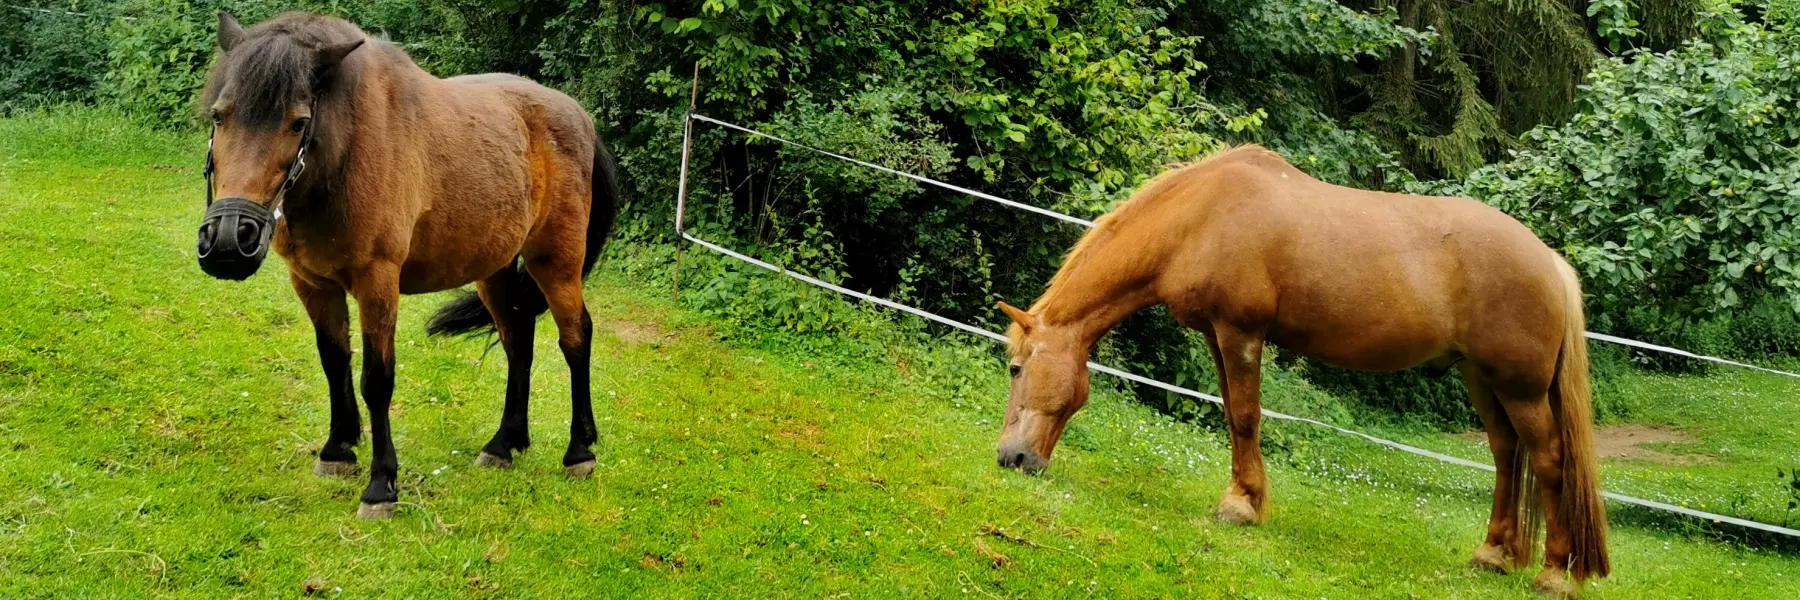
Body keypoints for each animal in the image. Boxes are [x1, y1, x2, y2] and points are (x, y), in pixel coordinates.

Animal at [195, 12, 619, 518]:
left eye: (298, 123)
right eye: (219, 116)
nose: (227, 240)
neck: (346, 155)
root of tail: (580, 118)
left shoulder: (377, 282)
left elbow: (376, 380)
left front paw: (381, 486)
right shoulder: (313, 283)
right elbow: (334, 361)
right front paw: (337, 451)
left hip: (555, 260)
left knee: (575, 337)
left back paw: (580, 450)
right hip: (493, 268)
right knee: (519, 341)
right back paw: (503, 444)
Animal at [1000, 145, 1605, 594]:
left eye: (1014, 368)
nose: (1011, 458)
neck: (1201, 218)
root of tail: (1550, 262)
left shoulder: (1240, 333)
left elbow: (1246, 416)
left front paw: (1240, 506)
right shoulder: (1218, 335)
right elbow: (1232, 414)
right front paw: (1246, 497)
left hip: (1520, 388)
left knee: (1549, 461)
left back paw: (1555, 574)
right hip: (1481, 379)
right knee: (1506, 455)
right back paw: (1493, 554)